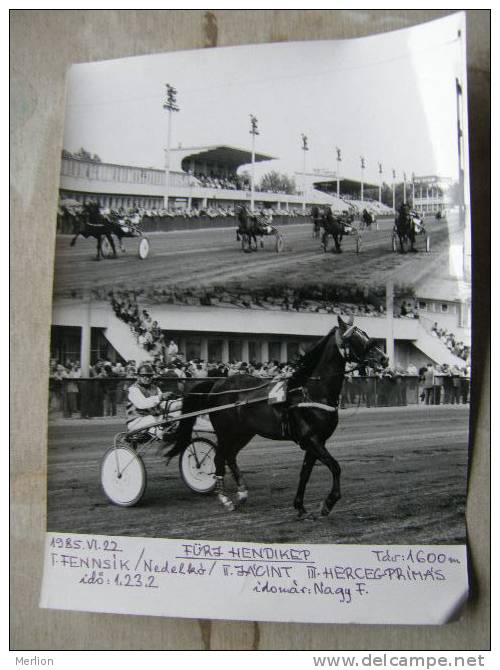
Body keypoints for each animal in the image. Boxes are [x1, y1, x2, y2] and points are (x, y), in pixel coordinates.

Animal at [166, 316, 388, 520]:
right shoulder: (312, 440)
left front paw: (300, 506)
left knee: (231, 456)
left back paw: (242, 492)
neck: (311, 391)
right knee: (219, 457)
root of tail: (216, 384)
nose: (384, 358)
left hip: (243, 433)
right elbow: (336, 467)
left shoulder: (315, 442)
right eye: (354, 337)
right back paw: (225, 498)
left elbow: (305, 473)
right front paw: (328, 503)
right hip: (225, 432)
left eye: (364, 333)